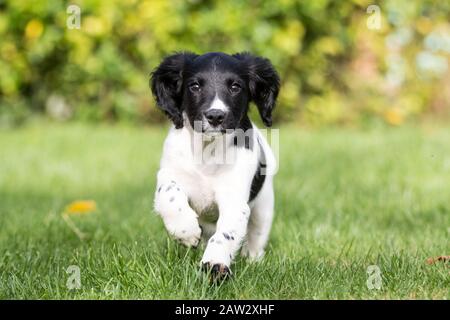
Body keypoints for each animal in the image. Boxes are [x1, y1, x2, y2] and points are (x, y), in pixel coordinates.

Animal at [149, 50, 280, 278]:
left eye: (235, 86)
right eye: (194, 86)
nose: (215, 116)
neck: (207, 151)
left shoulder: (234, 200)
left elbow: (225, 235)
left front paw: (214, 264)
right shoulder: (168, 173)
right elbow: (169, 194)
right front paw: (185, 230)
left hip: (263, 209)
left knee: (256, 237)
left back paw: (253, 259)